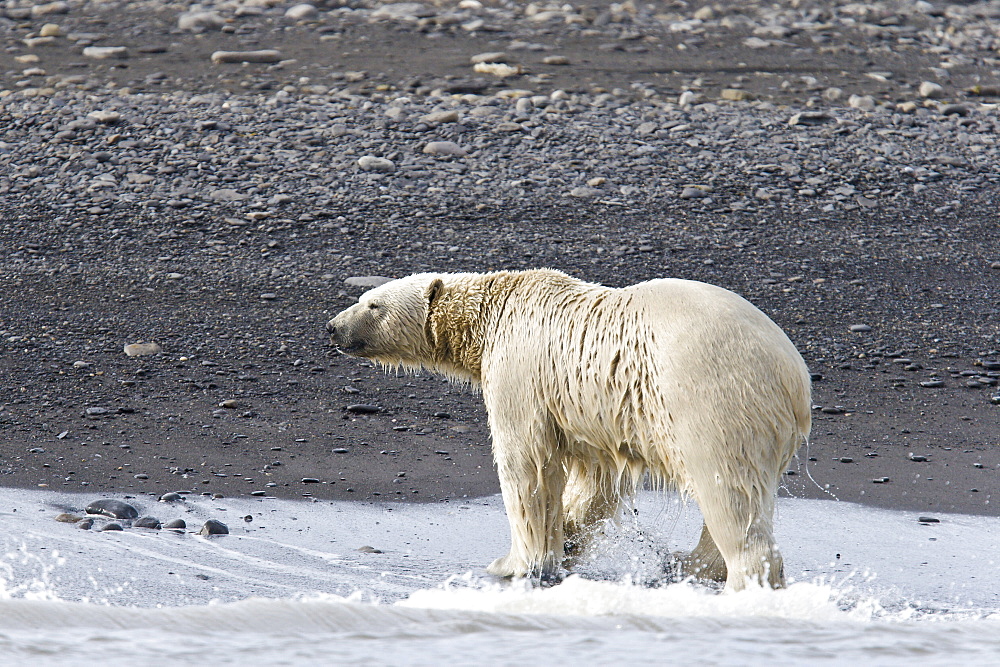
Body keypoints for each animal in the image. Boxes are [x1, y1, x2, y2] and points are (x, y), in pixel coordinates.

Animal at [328, 268, 812, 592]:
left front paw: (514, 563)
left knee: (726, 491)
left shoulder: (522, 370)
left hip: (707, 398)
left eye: (372, 303)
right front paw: (570, 541)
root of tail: (795, 377)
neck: (494, 312)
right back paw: (689, 566)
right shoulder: (598, 411)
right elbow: (598, 481)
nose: (332, 327)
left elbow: (527, 465)